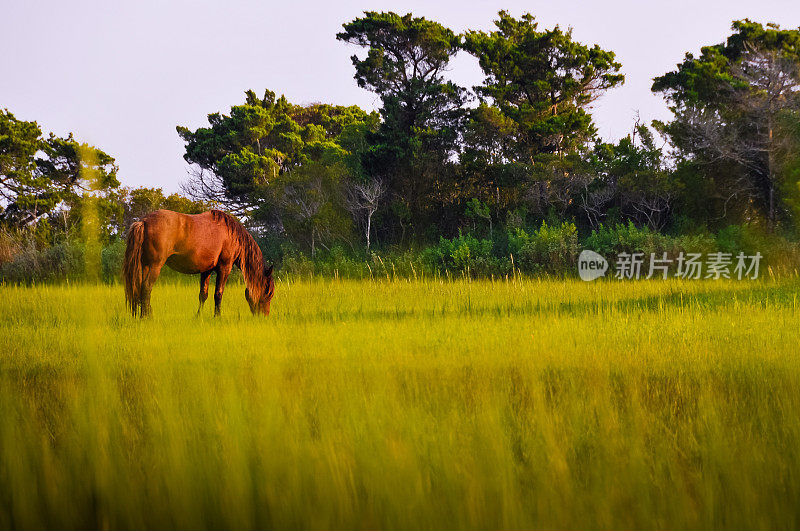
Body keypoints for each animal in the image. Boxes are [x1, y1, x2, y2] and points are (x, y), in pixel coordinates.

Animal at [122, 211, 276, 320]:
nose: (264, 316)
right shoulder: (224, 268)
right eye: (268, 293)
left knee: (140, 288)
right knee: (146, 288)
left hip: (145, 266)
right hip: (155, 266)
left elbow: (203, 295)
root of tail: (143, 222)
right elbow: (218, 293)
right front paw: (217, 316)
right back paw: (146, 317)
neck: (231, 235)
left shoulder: (206, 270)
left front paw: (198, 316)